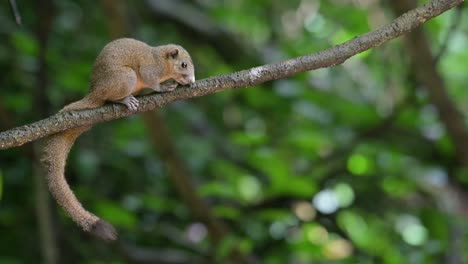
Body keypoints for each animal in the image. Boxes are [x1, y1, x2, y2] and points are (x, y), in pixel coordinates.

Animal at [39, 37, 195, 241]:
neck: (161, 58)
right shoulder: (150, 69)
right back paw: (124, 100)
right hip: (126, 77)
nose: (192, 80)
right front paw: (165, 86)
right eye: (183, 65)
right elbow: (152, 81)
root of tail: (94, 93)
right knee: (109, 98)